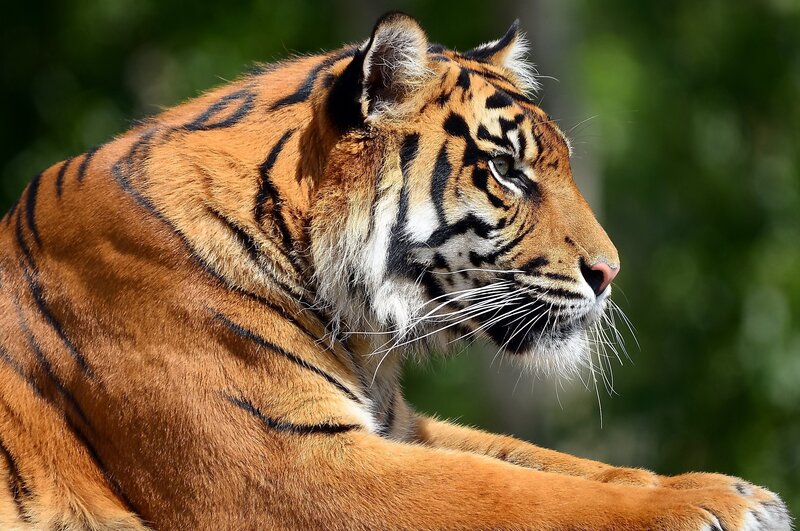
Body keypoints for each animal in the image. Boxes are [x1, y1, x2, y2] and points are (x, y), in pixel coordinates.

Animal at [0, 11, 791, 530]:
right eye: (507, 170)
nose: (609, 271)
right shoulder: (289, 465)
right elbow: (509, 491)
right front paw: (705, 504)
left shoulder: (397, 426)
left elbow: (543, 460)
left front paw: (736, 490)